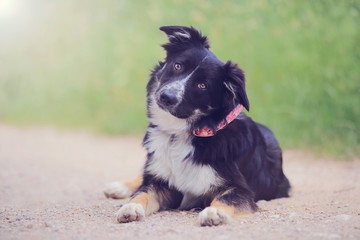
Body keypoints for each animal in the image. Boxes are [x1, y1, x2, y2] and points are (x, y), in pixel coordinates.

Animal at [104, 26, 290, 227]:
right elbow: (143, 192)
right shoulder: (160, 182)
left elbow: (225, 198)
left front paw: (214, 212)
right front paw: (131, 207)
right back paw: (120, 187)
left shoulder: (240, 189)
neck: (179, 134)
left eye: (202, 85)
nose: (166, 97)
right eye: (178, 66)